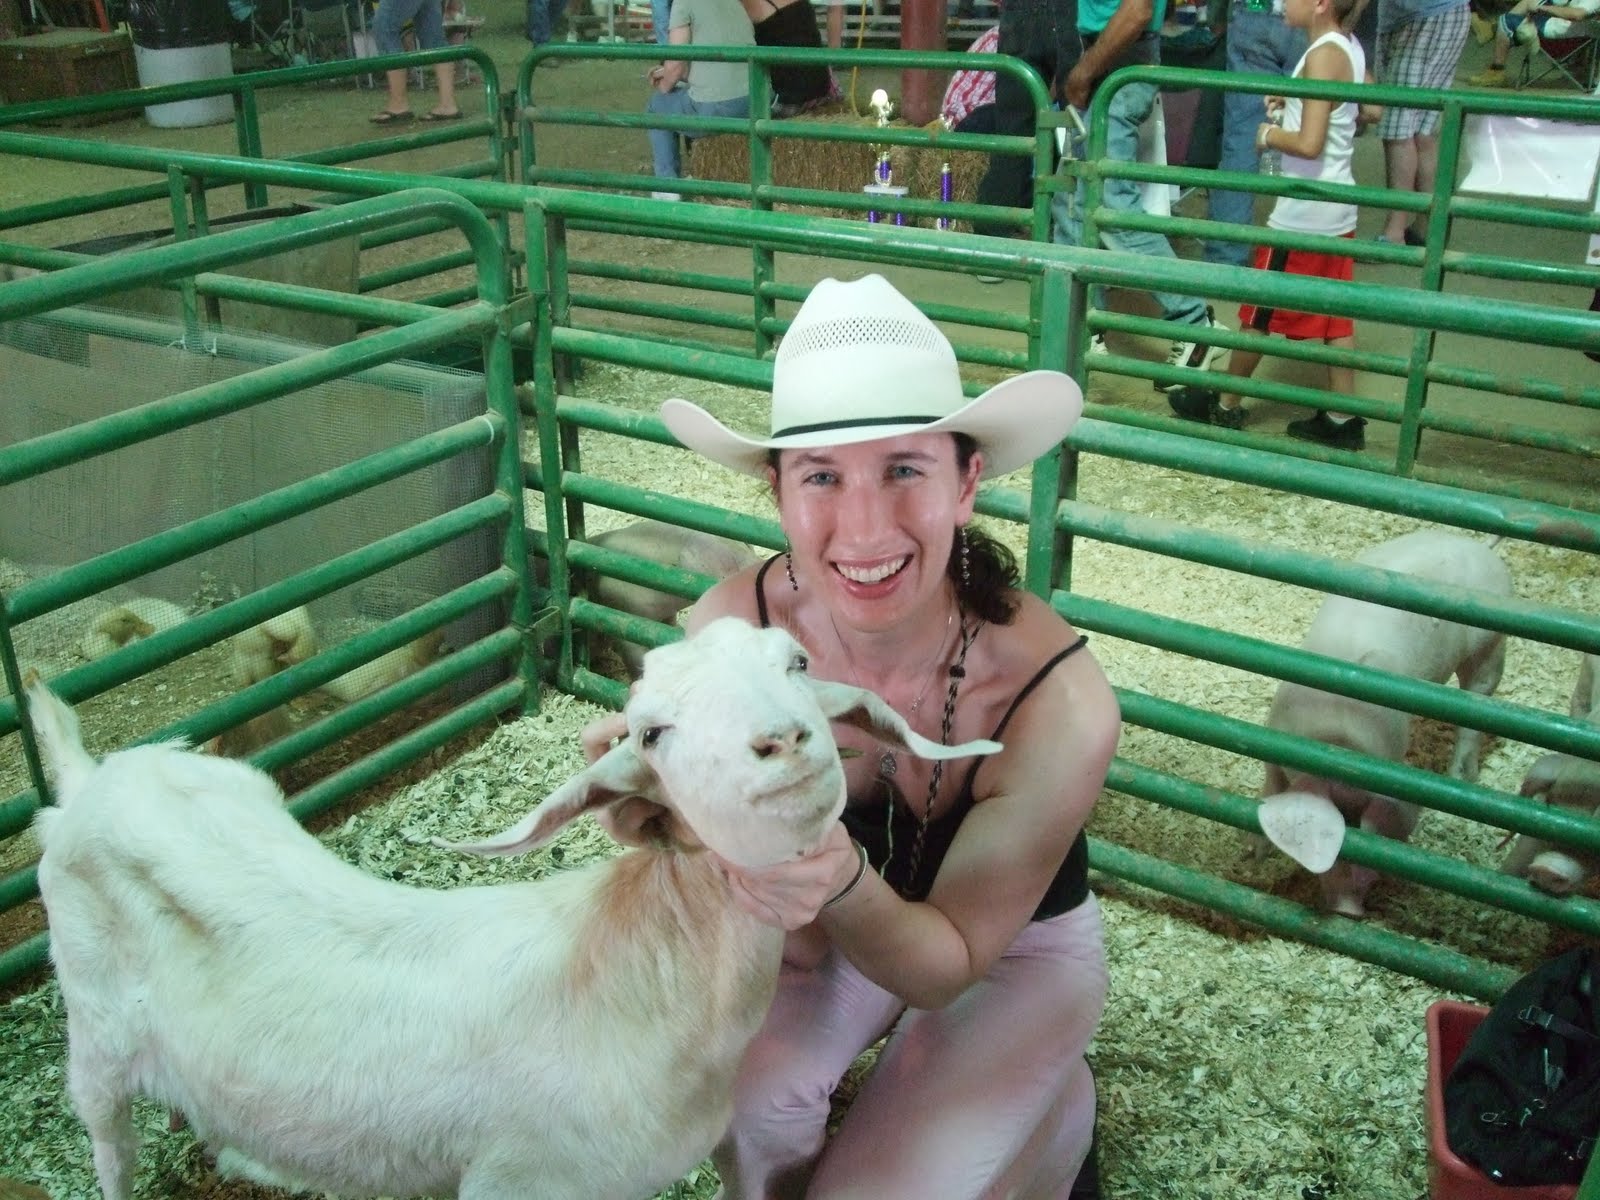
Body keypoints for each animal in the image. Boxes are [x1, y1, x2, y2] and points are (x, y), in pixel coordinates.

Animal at [28, 617, 999, 1200]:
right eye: (651, 733)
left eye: (797, 664)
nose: (781, 740)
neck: (652, 969)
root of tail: (86, 782)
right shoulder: (518, 1181)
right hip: (95, 1035)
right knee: (110, 1145)